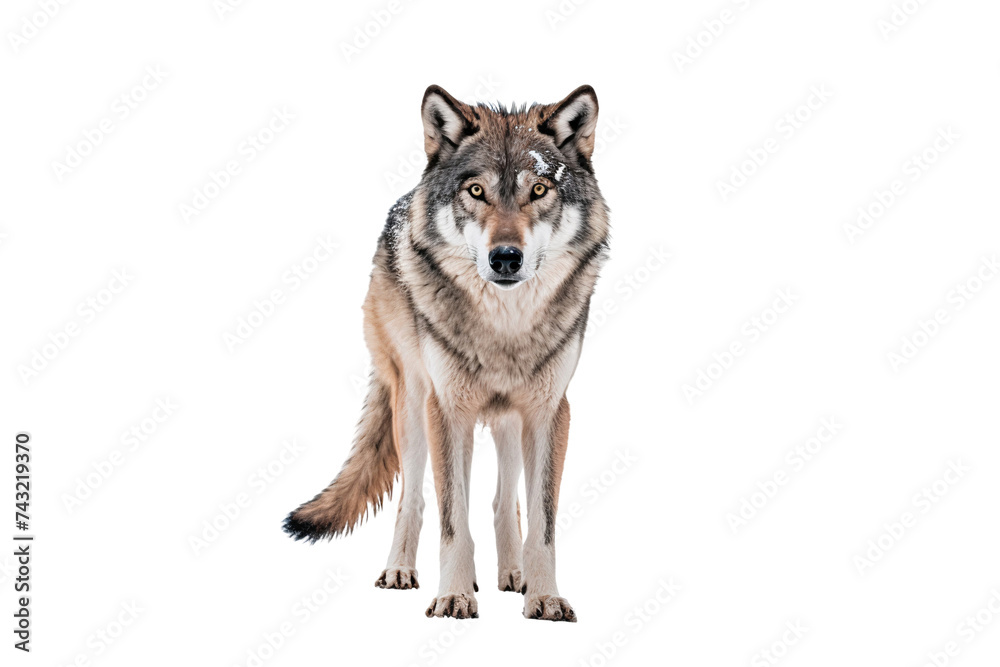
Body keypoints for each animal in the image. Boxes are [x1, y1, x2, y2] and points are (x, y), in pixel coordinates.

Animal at [283, 84, 610, 622]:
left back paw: (512, 575)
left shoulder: (549, 413)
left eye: (539, 190)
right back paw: (400, 571)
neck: (505, 328)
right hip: (414, 408)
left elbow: (541, 523)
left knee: (503, 502)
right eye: (475, 191)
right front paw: (454, 596)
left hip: (508, 421)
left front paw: (543, 597)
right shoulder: (448, 410)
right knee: (413, 499)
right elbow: (452, 519)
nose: (505, 258)